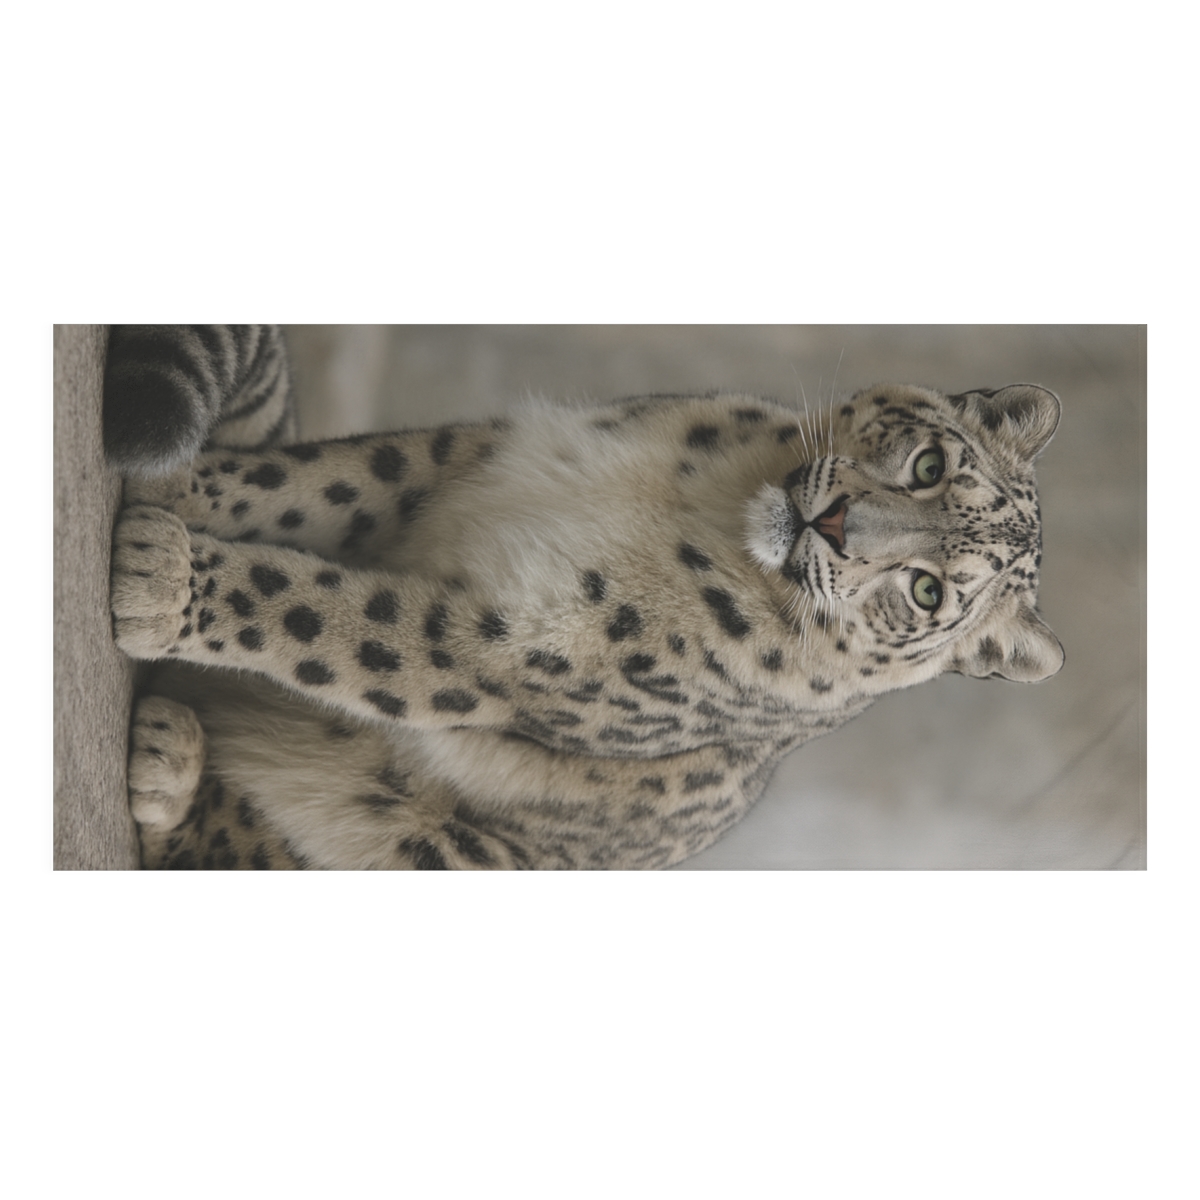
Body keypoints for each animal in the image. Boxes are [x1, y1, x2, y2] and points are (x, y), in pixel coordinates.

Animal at [105, 325, 1064, 869]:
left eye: (929, 591)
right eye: (930, 466)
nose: (831, 524)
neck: (700, 509)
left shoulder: (502, 652)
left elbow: (333, 617)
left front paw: (159, 577)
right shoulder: (461, 457)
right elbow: (317, 478)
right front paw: (183, 485)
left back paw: (163, 757)